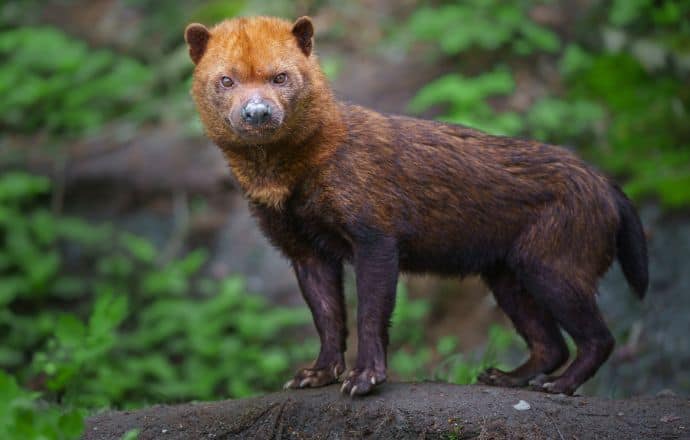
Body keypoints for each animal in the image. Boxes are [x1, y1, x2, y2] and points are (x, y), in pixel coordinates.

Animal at [184, 16, 644, 396]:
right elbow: (328, 317)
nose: (257, 112)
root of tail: (607, 184)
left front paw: (364, 378)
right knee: (551, 345)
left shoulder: (374, 234)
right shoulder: (302, 249)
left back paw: (558, 386)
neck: (291, 186)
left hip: (553, 264)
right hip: (506, 274)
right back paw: (505, 377)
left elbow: (371, 312)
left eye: (281, 76)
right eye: (226, 80)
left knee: (598, 338)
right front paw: (315, 374)